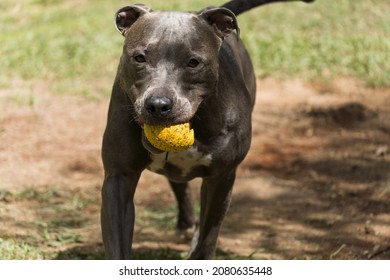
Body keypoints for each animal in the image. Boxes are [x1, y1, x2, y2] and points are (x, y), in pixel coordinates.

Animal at [101, 0, 314, 260]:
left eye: (193, 62)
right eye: (139, 58)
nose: (158, 105)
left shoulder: (221, 178)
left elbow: (207, 238)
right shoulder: (119, 177)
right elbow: (118, 244)